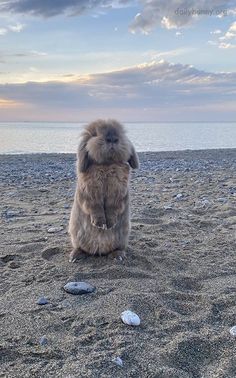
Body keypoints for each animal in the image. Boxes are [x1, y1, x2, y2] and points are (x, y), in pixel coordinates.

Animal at [68, 119, 138, 262]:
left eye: (121, 132)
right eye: (95, 134)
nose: (112, 139)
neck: (106, 165)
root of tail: (99, 251)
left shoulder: (118, 193)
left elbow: (112, 208)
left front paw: (109, 225)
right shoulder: (90, 194)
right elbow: (95, 208)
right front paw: (100, 224)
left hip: (122, 238)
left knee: (118, 248)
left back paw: (118, 256)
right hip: (76, 235)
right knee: (80, 247)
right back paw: (75, 256)